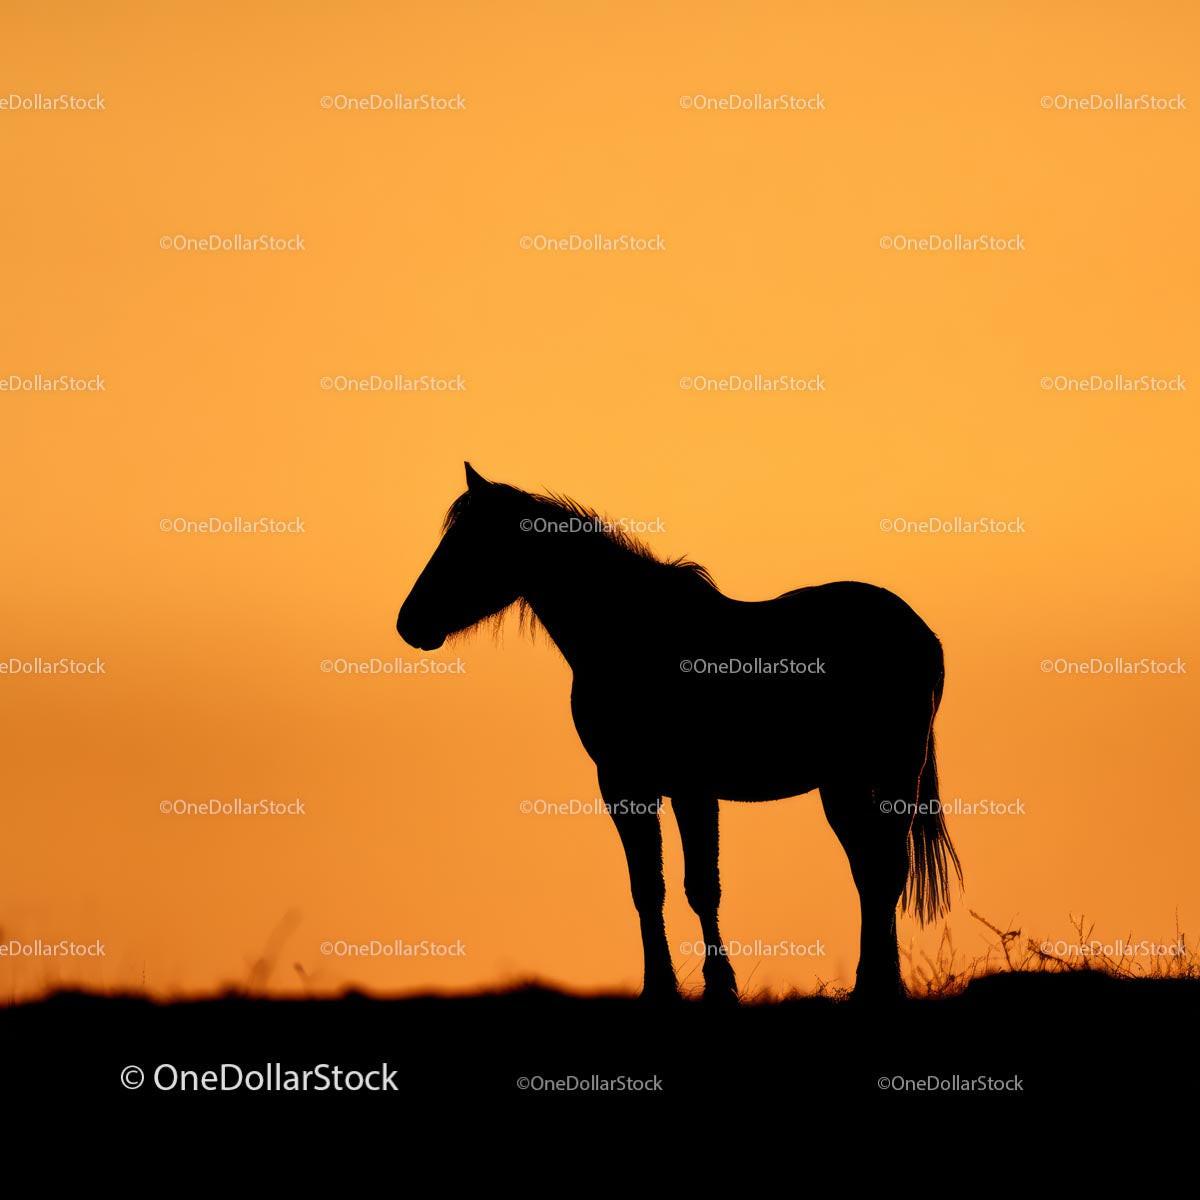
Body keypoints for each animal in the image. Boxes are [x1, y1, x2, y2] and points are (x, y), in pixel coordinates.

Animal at [397, 463, 962, 1003]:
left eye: (469, 544)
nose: (410, 623)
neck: (634, 635)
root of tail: (920, 631)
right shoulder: (624, 785)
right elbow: (648, 887)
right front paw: (659, 986)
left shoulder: (692, 788)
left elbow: (701, 887)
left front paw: (720, 985)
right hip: (841, 784)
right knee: (871, 869)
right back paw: (876, 984)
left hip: (895, 770)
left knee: (888, 867)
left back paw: (877, 986)